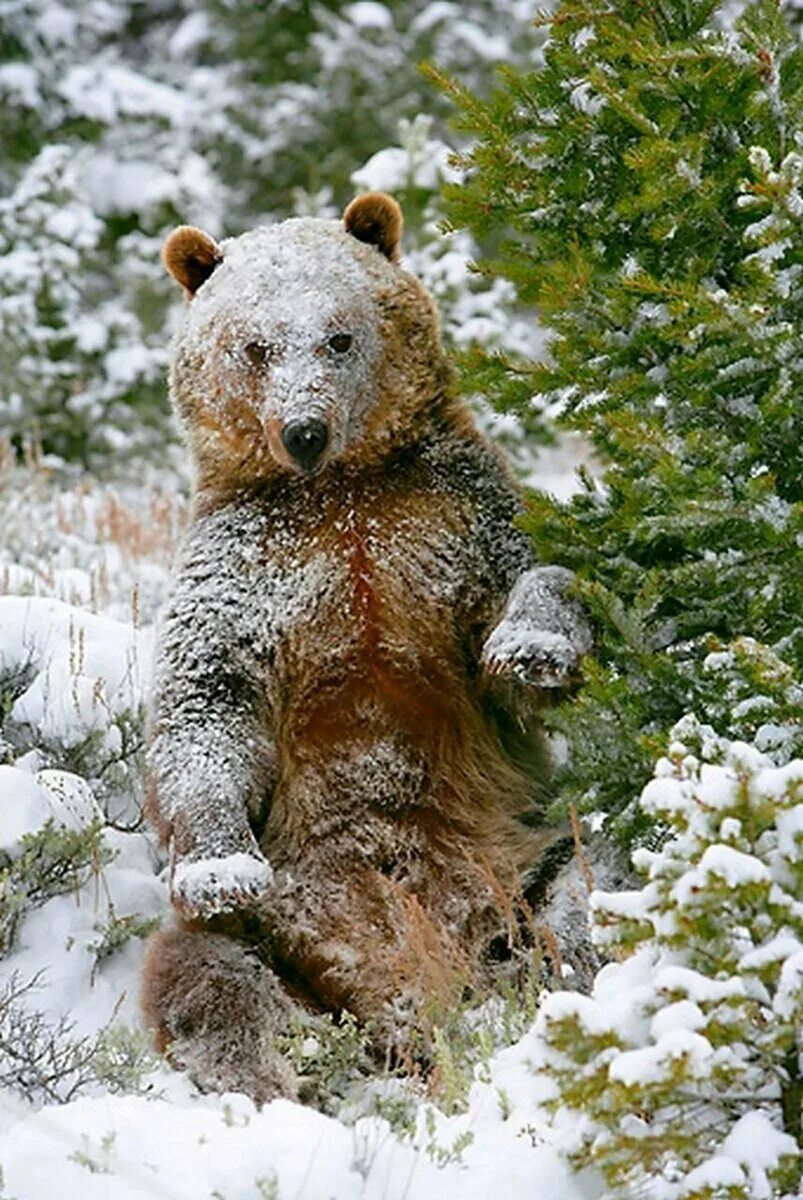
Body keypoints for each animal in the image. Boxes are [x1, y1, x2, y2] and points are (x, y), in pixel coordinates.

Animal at [141, 192, 588, 1099]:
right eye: (256, 346)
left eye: (338, 336)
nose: (304, 431)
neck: (341, 494)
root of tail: (420, 986)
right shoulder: (248, 564)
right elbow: (207, 705)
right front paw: (219, 866)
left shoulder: (447, 522)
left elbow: (529, 590)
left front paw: (531, 646)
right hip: (282, 935)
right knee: (212, 979)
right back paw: (285, 1082)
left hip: (520, 863)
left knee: (593, 877)